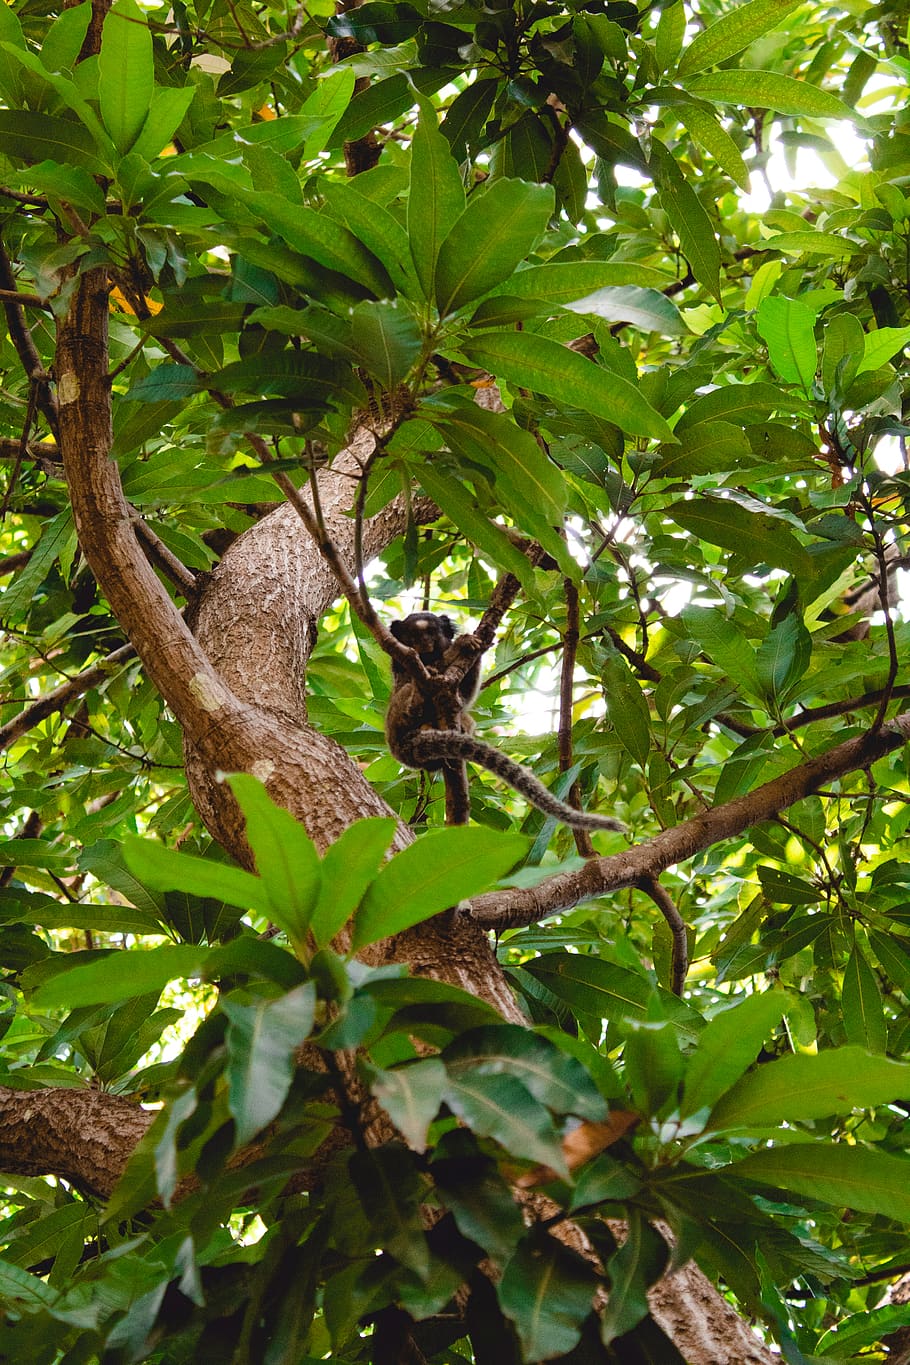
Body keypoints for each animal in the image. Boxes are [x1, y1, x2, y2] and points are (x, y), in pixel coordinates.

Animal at [385, 612, 626, 833]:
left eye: (431, 633)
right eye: (413, 636)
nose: (424, 644)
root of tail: (397, 747)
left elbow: (462, 697)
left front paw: (473, 646)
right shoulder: (406, 665)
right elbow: (431, 673)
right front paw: (458, 647)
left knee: (462, 718)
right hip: (396, 719)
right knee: (408, 691)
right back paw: (416, 699)